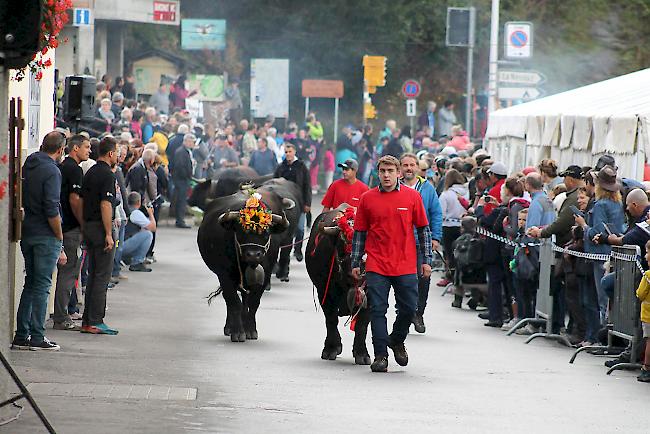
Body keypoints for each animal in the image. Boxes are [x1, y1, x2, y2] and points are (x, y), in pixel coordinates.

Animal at [197, 181, 296, 340]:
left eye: (266, 232)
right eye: (240, 231)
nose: (253, 255)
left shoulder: (264, 276)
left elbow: (254, 303)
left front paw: (250, 329)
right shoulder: (225, 276)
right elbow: (234, 302)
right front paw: (237, 332)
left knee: (245, 299)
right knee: (231, 300)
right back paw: (230, 327)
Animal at [304, 205, 370, 364]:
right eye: (342, 242)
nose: (357, 273)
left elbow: (362, 324)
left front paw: (362, 354)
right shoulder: (324, 291)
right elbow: (331, 318)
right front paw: (331, 349)